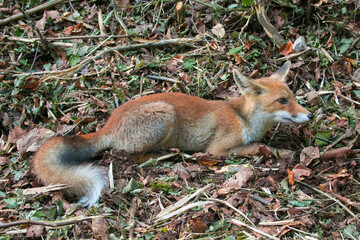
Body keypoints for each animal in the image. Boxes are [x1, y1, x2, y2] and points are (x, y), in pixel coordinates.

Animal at [32, 61, 312, 206]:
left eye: (293, 97)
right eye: (282, 101)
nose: (309, 116)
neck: (243, 118)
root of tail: (108, 124)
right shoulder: (216, 150)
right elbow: (254, 148)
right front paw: (279, 152)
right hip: (164, 114)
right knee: (132, 156)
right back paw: (165, 156)